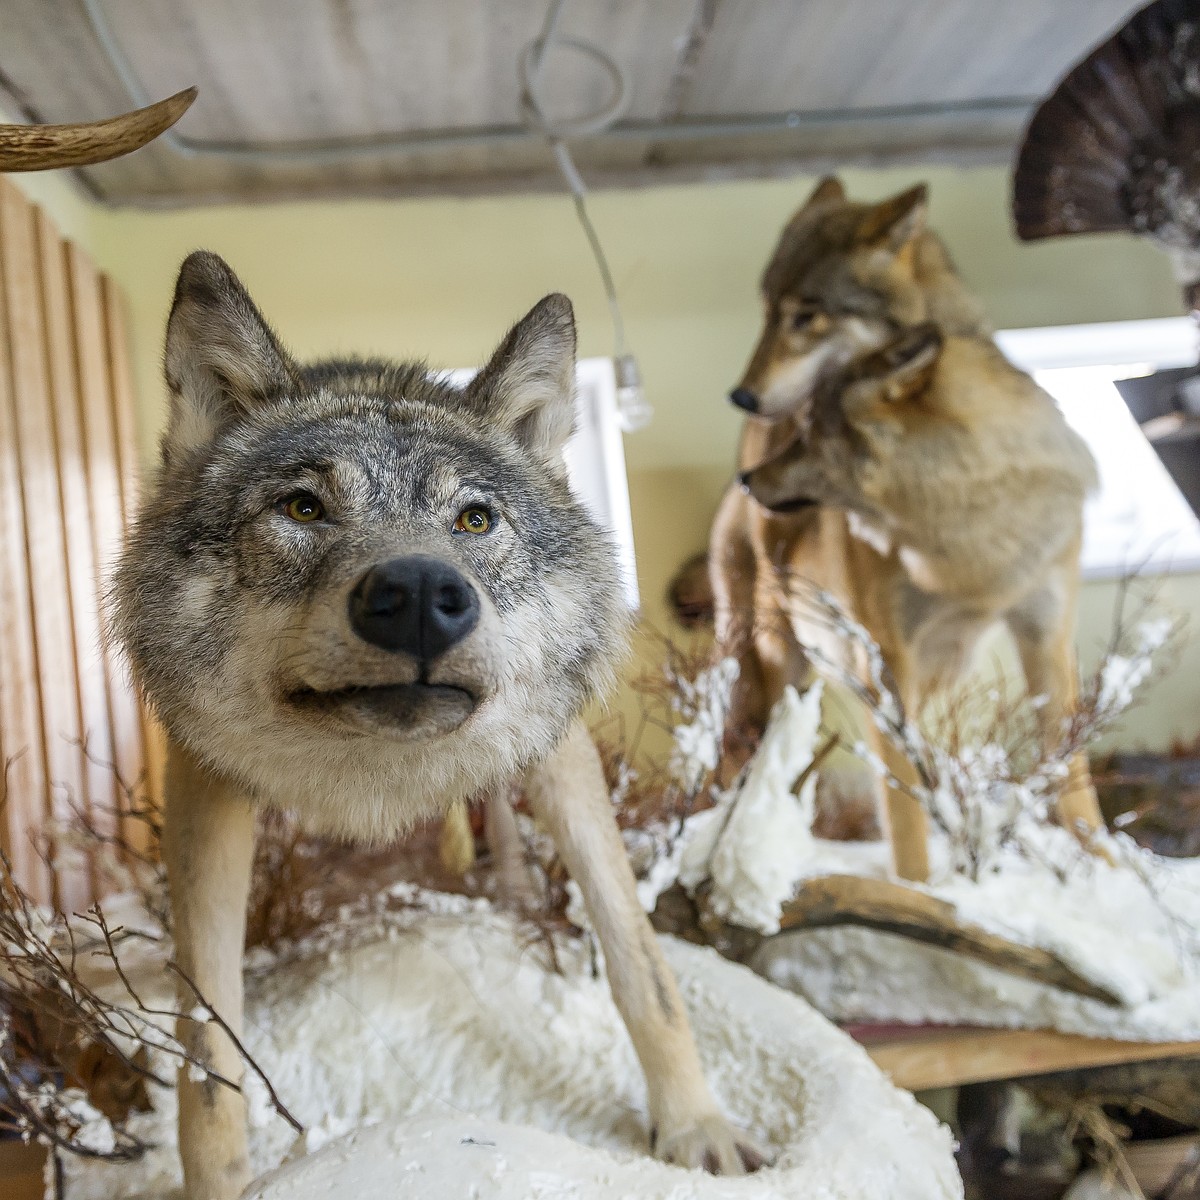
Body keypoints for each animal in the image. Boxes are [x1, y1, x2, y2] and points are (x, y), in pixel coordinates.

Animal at [114, 248, 758, 1195]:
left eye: (475, 519)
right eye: (303, 509)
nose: (419, 594)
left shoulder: (562, 757)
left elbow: (641, 963)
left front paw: (695, 1129)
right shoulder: (206, 792)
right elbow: (207, 1053)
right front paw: (221, 1182)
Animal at [710, 182, 1104, 888]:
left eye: (805, 316)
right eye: (768, 313)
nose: (750, 477)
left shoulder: (1045, 640)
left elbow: (1075, 784)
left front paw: (1116, 879)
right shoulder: (888, 668)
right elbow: (908, 819)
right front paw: (924, 894)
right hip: (774, 666)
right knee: (744, 763)